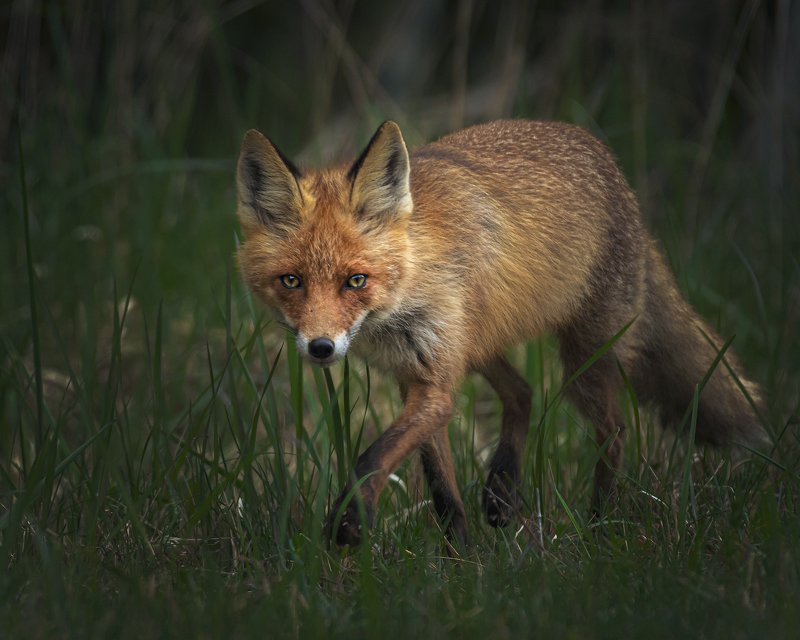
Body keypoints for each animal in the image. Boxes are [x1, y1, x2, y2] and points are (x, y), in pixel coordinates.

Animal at [235, 119, 767, 546]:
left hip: (582, 365)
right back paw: (502, 490)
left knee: (614, 432)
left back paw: (598, 526)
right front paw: (461, 559)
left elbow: (373, 456)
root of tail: (612, 168)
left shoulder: (435, 384)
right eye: (291, 281)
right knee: (524, 391)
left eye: (356, 281)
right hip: (481, 344)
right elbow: (441, 491)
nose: (321, 348)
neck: (410, 283)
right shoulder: (419, 378)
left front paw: (348, 520)